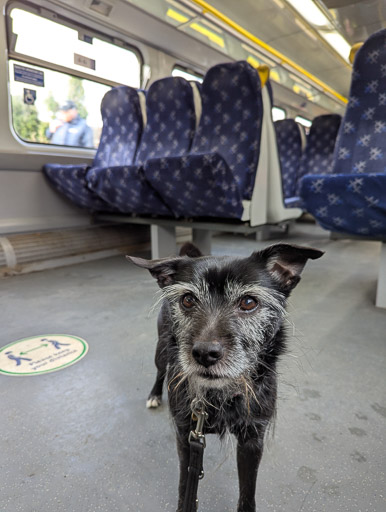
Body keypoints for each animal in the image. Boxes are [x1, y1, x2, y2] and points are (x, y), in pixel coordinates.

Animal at [129, 242, 322, 510]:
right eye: (188, 300)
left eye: (249, 302)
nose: (204, 353)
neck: (220, 394)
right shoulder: (185, 437)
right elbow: (184, 485)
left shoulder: (252, 440)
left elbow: (247, 491)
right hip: (161, 350)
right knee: (160, 372)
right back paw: (155, 395)